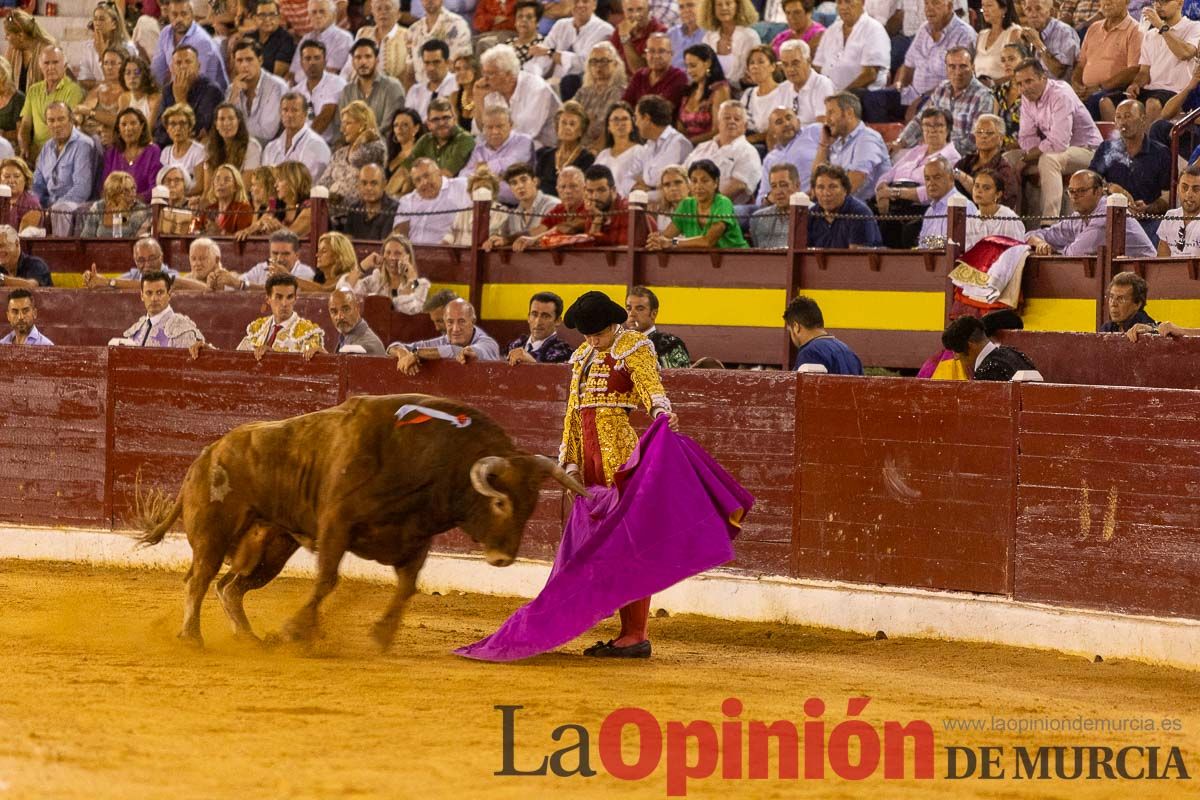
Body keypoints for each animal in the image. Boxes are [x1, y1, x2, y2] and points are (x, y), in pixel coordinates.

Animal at [133, 393, 583, 652]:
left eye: (531, 505)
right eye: (501, 503)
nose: (504, 558)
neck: (433, 458)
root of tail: (207, 453)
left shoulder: (415, 538)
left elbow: (406, 587)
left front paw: (381, 636)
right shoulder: (336, 524)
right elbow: (327, 580)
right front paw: (298, 632)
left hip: (269, 547)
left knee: (230, 587)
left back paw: (251, 639)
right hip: (215, 530)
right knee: (200, 578)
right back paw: (192, 638)